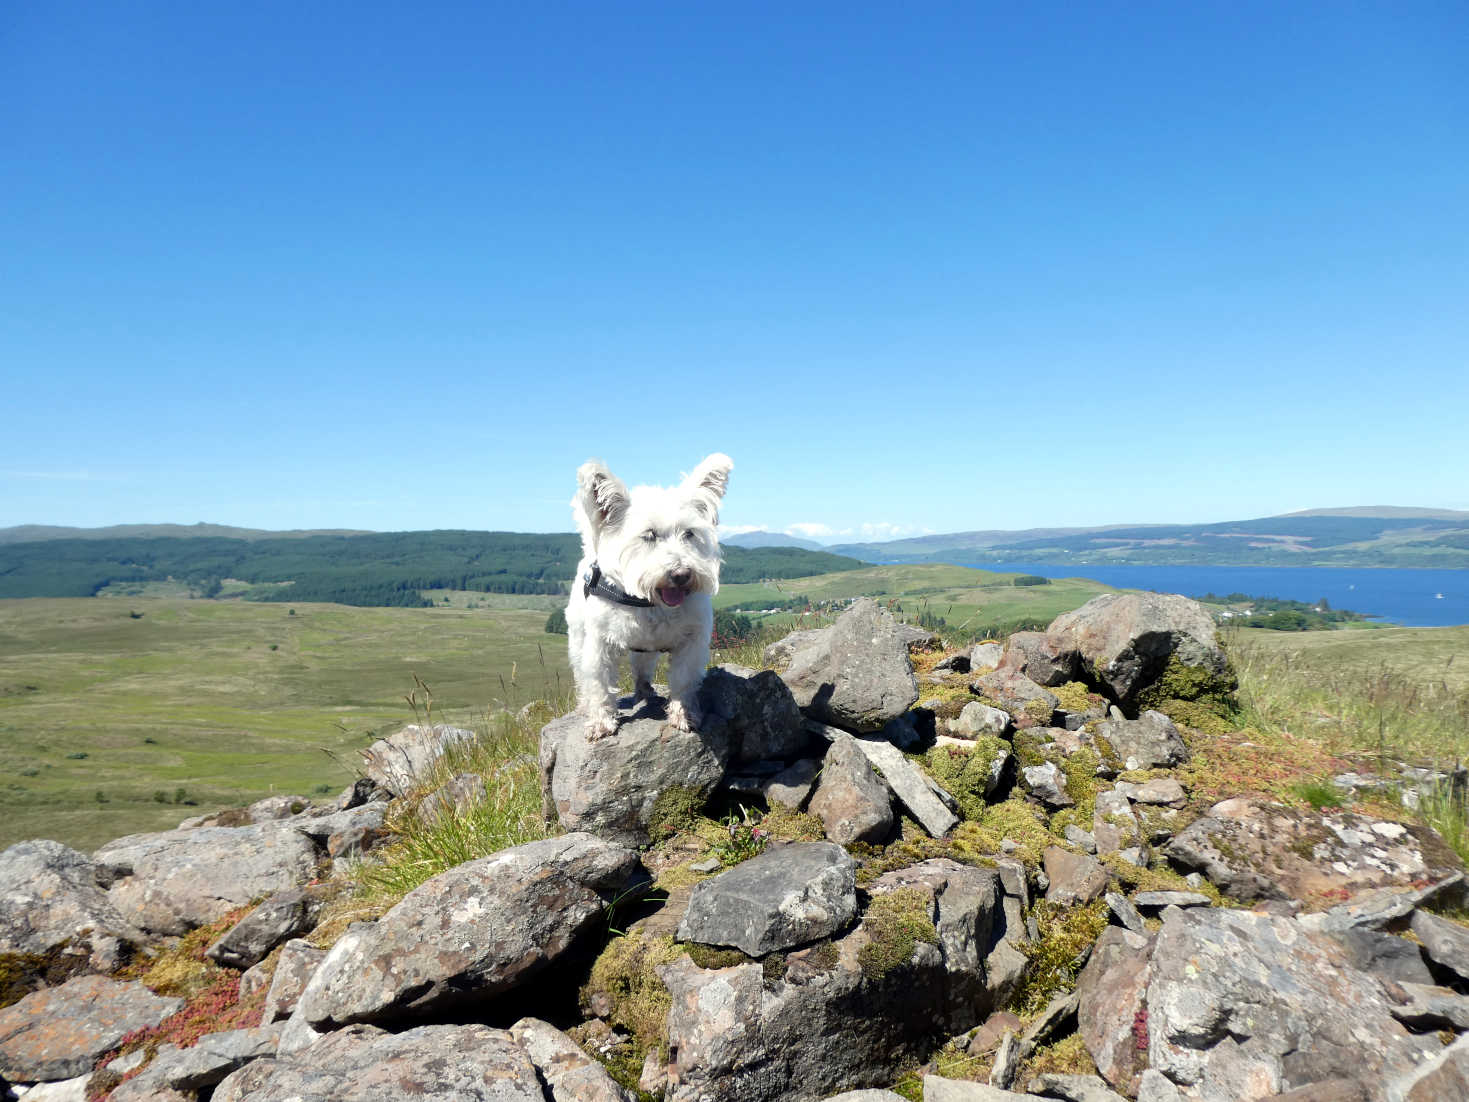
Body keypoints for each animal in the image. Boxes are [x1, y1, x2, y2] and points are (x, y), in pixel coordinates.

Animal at [572, 452, 734, 746]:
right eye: (649, 535)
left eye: (689, 533)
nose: (681, 574)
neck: (651, 604)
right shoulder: (599, 645)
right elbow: (599, 684)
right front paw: (601, 722)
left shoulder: (692, 641)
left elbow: (683, 679)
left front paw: (684, 714)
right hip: (578, 638)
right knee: (581, 673)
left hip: (644, 652)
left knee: (642, 670)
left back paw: (646, 691)